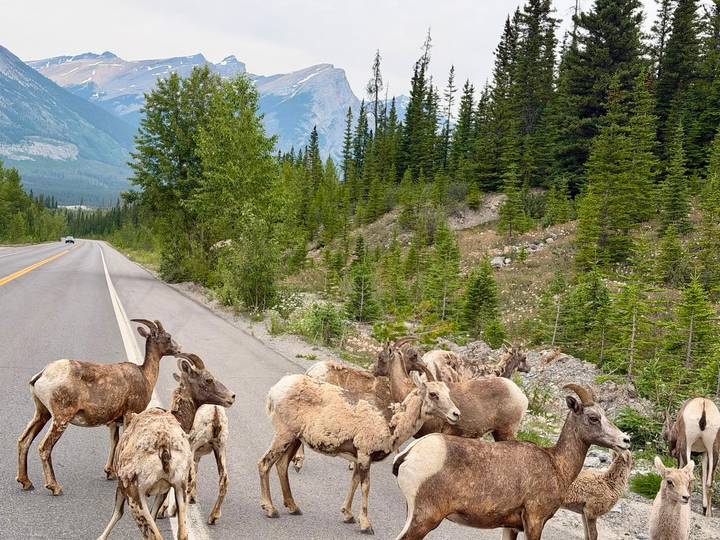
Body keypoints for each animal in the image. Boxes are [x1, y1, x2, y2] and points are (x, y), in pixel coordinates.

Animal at [16, 319, 180, 495]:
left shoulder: (114, 422)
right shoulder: (130, 414)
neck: (145, 376)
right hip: (61, 418)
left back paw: (26, 482)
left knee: (24, 440)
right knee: (44, 447)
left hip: (42, 413)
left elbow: (115, 442)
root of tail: (42, 375)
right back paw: (55, 487)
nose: (178, 349)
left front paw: (110, 472)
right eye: (168, 337)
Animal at [97, 355, 235, 540]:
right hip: (181, 484)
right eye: (208, 379)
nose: (232, 397)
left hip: (136, 496)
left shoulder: (122, 486)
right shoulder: (164, 489)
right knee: (182, 532)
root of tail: (164, 448)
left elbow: (117, 513)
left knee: (154, 534)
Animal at [258, 371, 460, 535]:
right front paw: (366, 525)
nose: (455, 414)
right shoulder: (364, 454)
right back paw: (270, 509)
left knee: (281, 465)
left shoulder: (357, 458)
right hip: (285, 433)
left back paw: (294, 507)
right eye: (433, 394)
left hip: (295, 438)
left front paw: (348, 515)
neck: (390, 423)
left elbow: (354, 481)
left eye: (448, 393)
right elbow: (365, 486)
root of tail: (275, 390)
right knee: (264, 463)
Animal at [392, 384, 631, 540]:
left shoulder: (511, 527)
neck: (557, 465)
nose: (625, 440)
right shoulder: (535, 520)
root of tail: (410, 453)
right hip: (425, 519)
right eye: (593, 418)